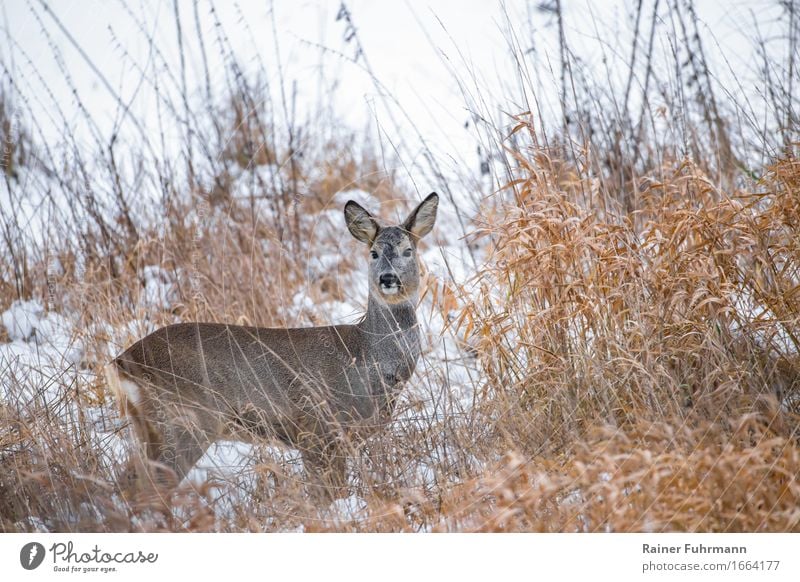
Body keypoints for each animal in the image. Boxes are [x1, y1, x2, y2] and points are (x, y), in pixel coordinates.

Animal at [105, 193, 438, 502]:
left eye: (408, 250)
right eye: (373, 253)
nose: (388, 278)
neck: (368, 357)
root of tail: (122, 363)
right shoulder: (319, 428)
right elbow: (325, 495)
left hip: (154, 428)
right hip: (185, 421)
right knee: (149, 491)